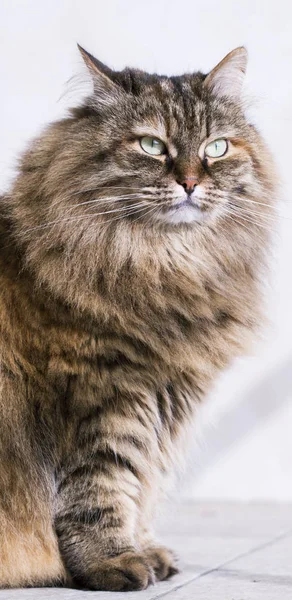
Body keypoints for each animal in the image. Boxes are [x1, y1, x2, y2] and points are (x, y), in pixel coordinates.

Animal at [0, 47, 274, 592]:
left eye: (216, 148)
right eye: (151, 145)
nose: (190, 182)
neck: (164, 265)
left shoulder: (166, 397)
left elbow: (146, 480)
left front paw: (148, 549)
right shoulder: (105, 392)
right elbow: (105, 486)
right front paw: (113, 564)